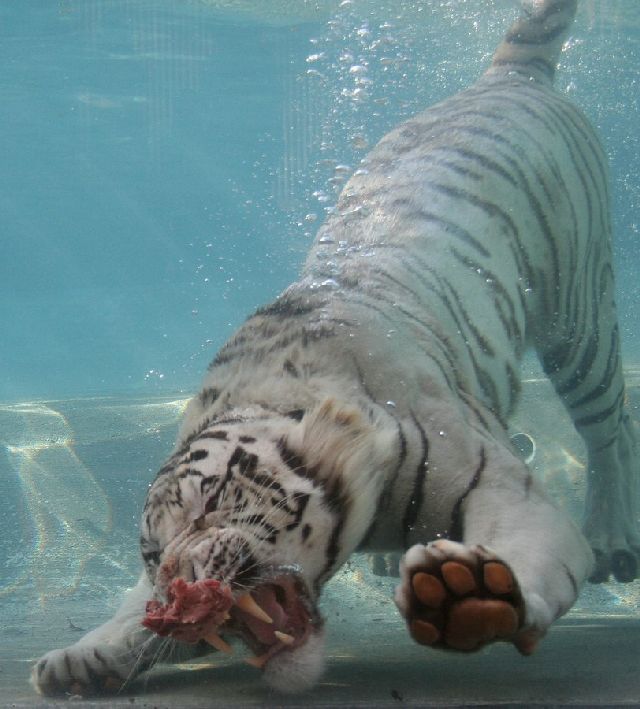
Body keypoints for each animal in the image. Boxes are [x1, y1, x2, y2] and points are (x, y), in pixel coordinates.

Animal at [32, 0, 636, 696]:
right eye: (152, 553)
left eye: (210, 504)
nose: (180, 588)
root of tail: (508, 76)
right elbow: (131, 612)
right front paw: (80, 657)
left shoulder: (510, 492)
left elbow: (523, 551)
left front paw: (464, 594)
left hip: (580, 318)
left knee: (610, 428)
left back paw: (613, 539)